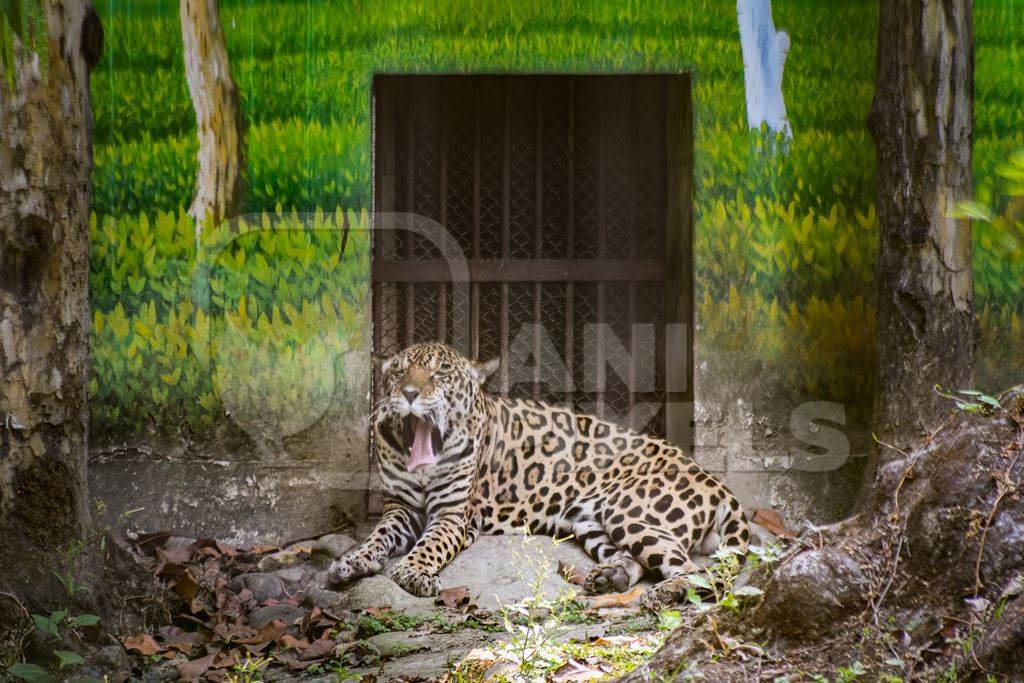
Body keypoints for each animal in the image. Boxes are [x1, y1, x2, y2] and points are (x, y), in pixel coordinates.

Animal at [329, 342, 753, 610]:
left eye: (441, 372)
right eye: (399, 372)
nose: (410, 393)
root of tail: (716, 483)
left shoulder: (453, 515)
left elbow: (429, 545)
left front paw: (413, 572)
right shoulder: (399, 508)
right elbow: (377, 537)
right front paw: (351, 561)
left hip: (627, 510)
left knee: (695, 571)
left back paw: (663, 594)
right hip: (591, 522)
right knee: (642, 560)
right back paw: (610, 577)